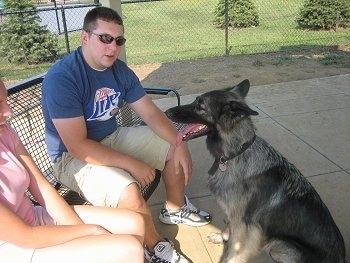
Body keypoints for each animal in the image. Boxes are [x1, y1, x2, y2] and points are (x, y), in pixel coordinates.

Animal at [166, 80, 344, 263]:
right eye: (195, 101)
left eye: (199, 106)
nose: (167, 112)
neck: (237, 153)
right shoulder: (234, 217)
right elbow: (228, 229)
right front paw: (222, 236)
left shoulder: (242, 224)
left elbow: (233, 251)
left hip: (279, 245)